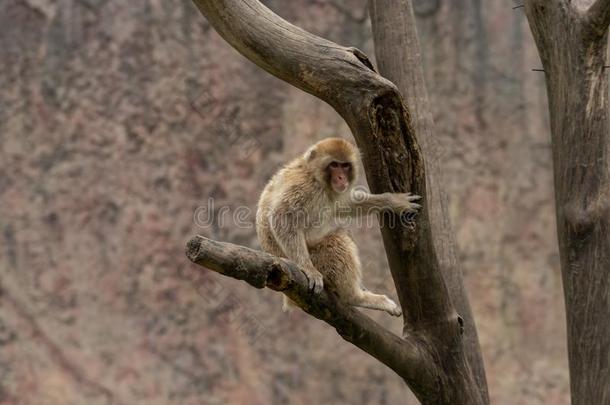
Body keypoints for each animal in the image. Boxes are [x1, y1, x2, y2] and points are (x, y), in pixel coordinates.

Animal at [254, 137, 420, 314]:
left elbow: (343, 205)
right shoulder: (304, 188)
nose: (341, 178)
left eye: (345, 165)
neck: (315, 176)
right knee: (337, 240)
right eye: (334, 165)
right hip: (319, 259)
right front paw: (307, 268)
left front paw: (393, 201)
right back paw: (356, 297)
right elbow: (283, 217)